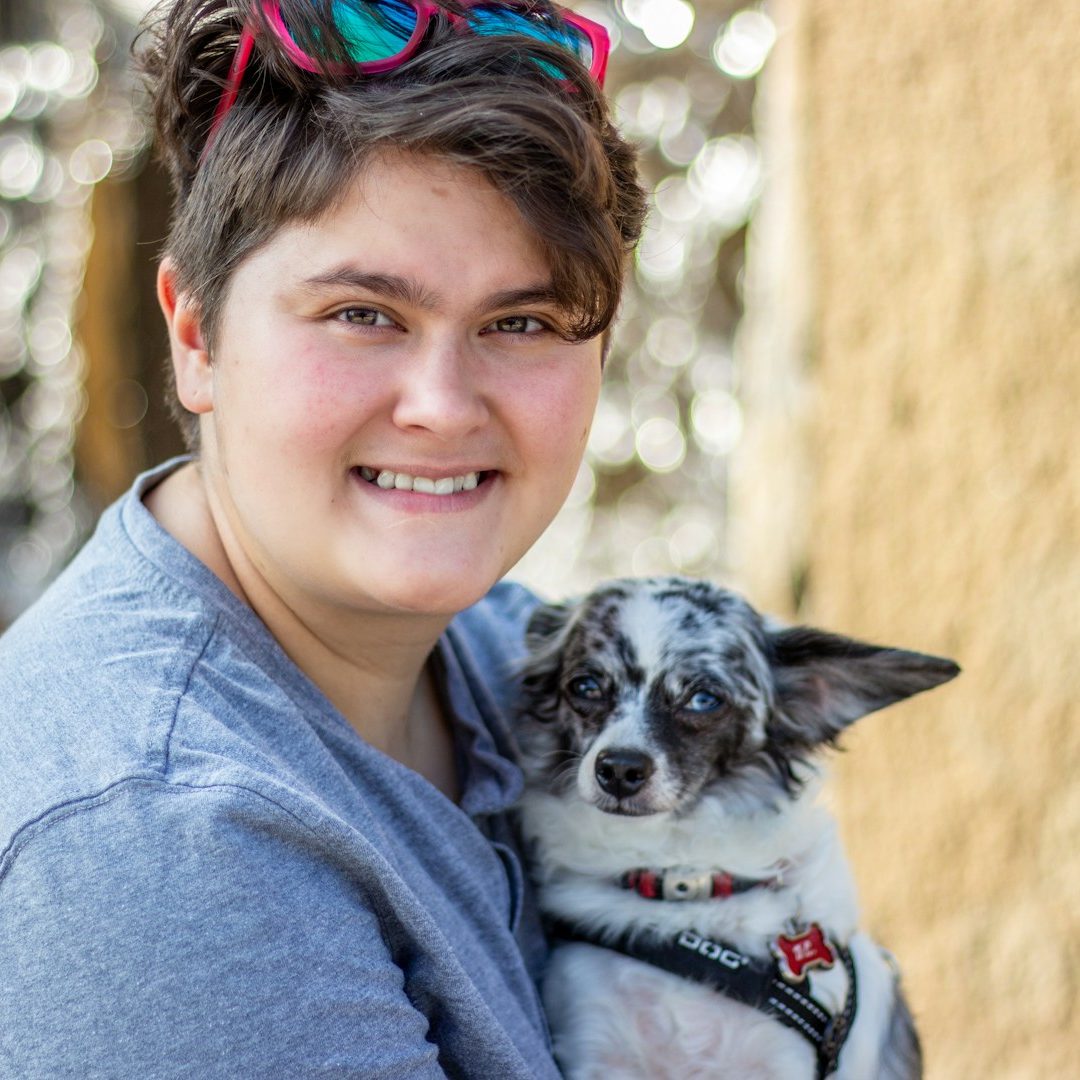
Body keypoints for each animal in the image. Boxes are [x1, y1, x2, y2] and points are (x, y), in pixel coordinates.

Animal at [516, 577, 959, 1079]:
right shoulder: (596, 1052)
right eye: (585, 686)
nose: (619, 769)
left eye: (703, 699)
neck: (682, 882)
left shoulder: (786, 1063)